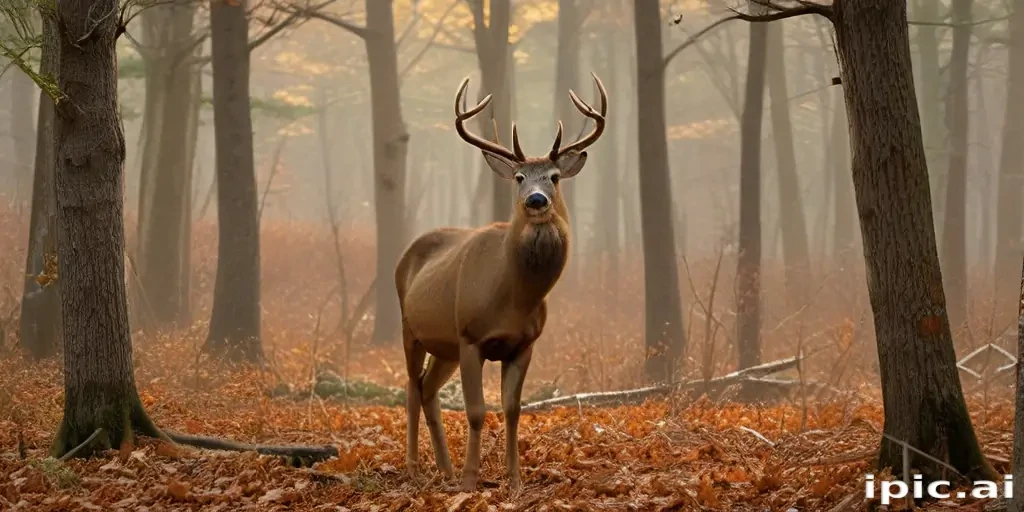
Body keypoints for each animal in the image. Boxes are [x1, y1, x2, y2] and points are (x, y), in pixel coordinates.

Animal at [394, 73, 607, 492]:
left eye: (555, 177)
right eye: (520, 177)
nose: (537, 200)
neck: (513, 296)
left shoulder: (524, 344)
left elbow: (512, 409)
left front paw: (514, 479)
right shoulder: (470, 336)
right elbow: (476, 411)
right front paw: (470, 481)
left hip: (443, 346)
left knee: (428, 389)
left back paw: (443, 470)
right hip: (411, 327)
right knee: (411, 387)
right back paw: (414, 468)